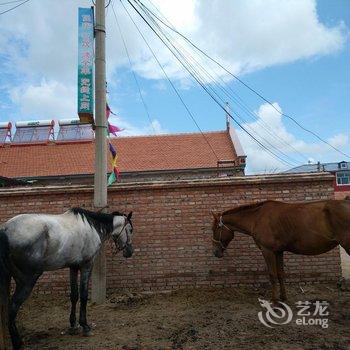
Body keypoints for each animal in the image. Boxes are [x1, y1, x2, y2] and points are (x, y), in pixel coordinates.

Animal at [0, 206, 133, 348]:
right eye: (130, 230)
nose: (130, 252)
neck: (92, 226)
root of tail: (5, 229)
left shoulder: (73, 267)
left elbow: (74, 295)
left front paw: (73, 326)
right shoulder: (87, 265)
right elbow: (84, 295)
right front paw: (85, 326)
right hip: (27, 281)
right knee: (13, 308)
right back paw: (17, 343)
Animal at [211, 201, 350, 302]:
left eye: (214, 229)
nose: (215, 252)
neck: (257, 218)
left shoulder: (267, 251)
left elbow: (272, 275)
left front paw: (274, 300)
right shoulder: (278, 251)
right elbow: (280, 274)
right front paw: (283, 297)